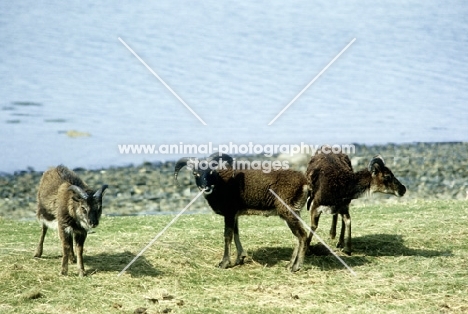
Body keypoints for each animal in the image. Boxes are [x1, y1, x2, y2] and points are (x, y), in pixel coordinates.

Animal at [174, 153, 308, 272]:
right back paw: (289, 265)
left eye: (212, 172)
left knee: (302, 235)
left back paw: (296, 267)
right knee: (297, 237)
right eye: (195, 173)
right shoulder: (235, 214)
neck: (221, 183)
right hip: (294, 211)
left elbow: (228, 235)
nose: (206, 188)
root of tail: (304, 183)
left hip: (287, 210)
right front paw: (240, 258)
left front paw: (224, 263)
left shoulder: (229, 213)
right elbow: (236, 233)